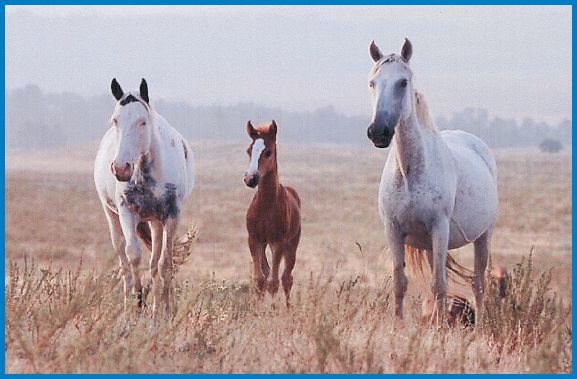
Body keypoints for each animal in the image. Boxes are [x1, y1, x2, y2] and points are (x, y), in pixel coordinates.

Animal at [93, 78, 195, 316]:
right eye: (115, 120)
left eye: (143, 122)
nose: (121, 168)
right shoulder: (126, 212)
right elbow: (133, 255)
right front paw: (137, 305)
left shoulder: (172, 215)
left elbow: (164, 262)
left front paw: (164, 311)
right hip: (112, 216)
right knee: (123, 261)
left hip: (156, 222)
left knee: (155, 262)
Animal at [366, 39, 498, 324]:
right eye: (373, 82)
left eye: (403, 82)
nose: (378, 132)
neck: (408, 175)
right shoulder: (393, 230)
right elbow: (401, 282)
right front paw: (397, 326)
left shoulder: (440, 228)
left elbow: (439, 285)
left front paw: (441, 331)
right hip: (429, 245)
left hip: (483, 236)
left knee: (478, 283)